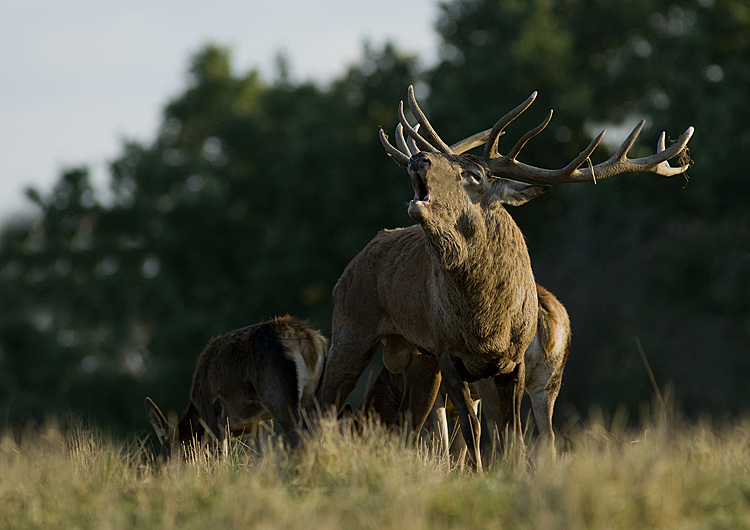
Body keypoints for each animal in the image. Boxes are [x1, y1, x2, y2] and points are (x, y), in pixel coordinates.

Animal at [144, 316, 326, 460]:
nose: (158, 471)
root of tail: (308, 341)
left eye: (163, 455)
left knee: (305, 438)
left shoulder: (212, 417)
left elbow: (218, 460)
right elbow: (264, 458)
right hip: (311, 394)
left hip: (278, 394)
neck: (197, 410)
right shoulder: (261, 420)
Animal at [314, 86, 696, 470]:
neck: (485, 322)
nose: (420, 157)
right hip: (352, 329)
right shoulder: (447, 354)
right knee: (325, 404)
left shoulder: (510, 362)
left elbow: (508, 435)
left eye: (474, 174)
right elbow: (472, 433)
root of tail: (353, 264)